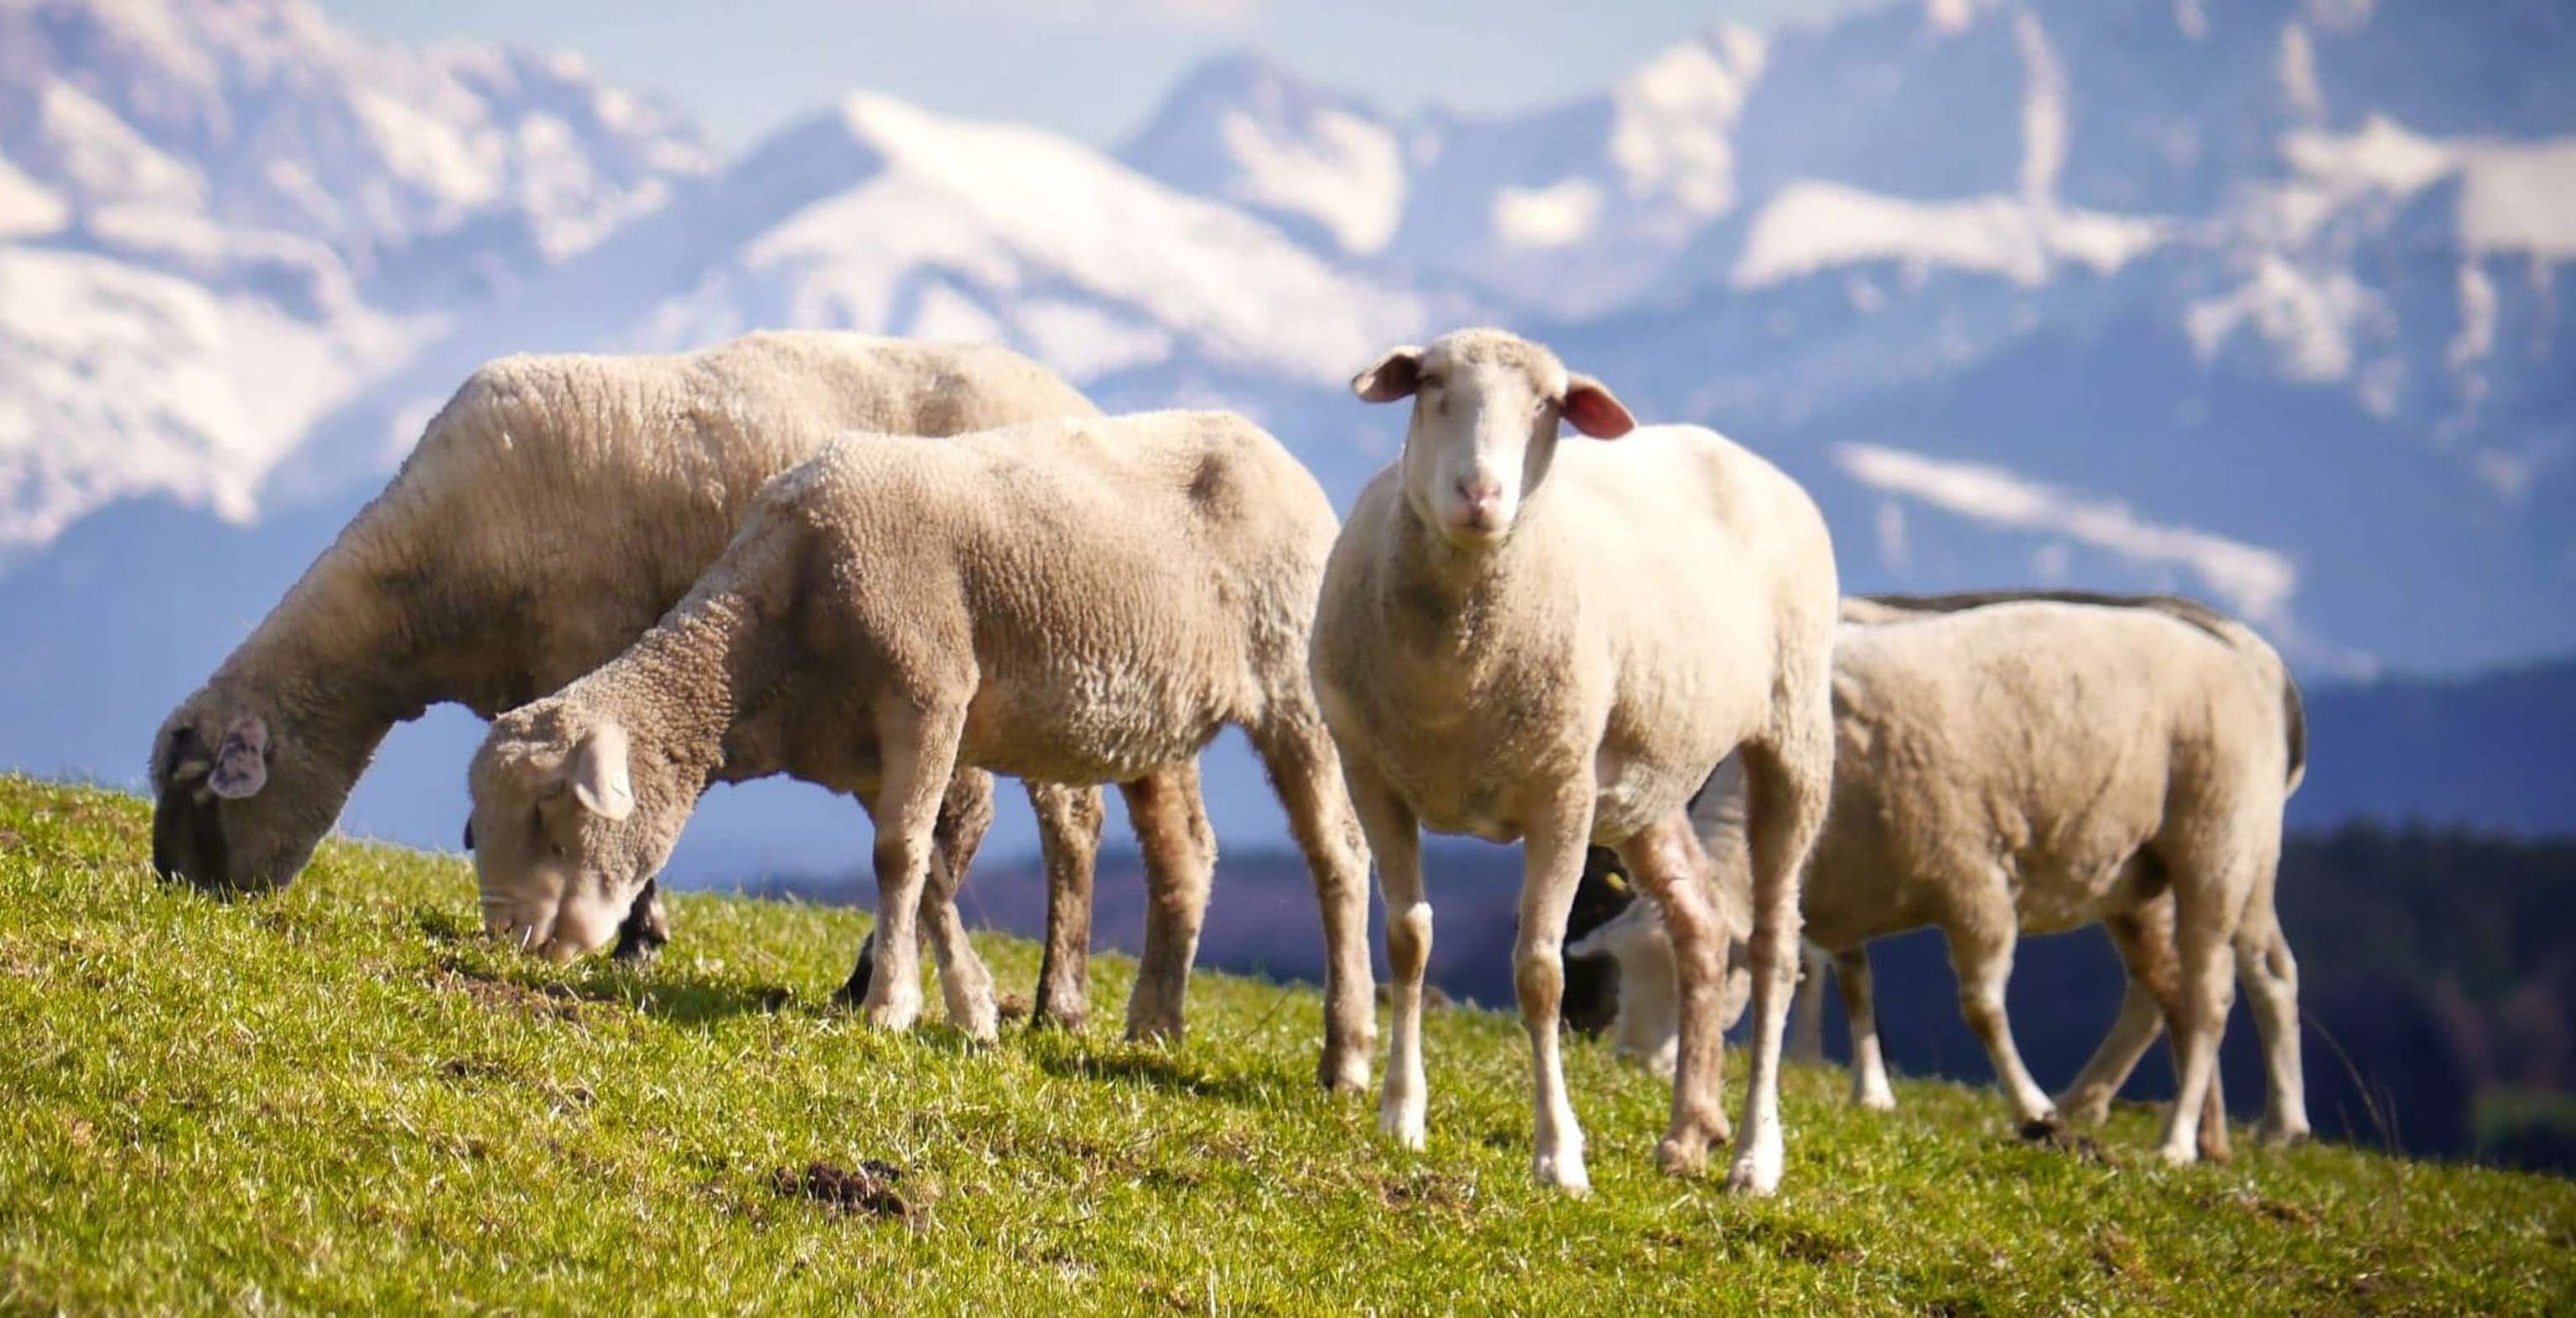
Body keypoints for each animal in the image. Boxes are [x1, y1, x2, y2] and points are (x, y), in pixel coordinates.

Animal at [144, 329, 1180, 1026]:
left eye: (200, 793)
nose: (177, 891)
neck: (419, 589)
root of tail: (1085, 404)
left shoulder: (589, 641)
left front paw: (638, 938)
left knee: (1069, 827)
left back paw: (1054, 998)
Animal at [465, 410, 1379, 1088]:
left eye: (551, 812)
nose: (509, 934)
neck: (769, 636)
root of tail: (1275, 451)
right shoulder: (867, 749)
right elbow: (928, 864)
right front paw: (971, 1012)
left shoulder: (929, 694)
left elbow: (899, 857)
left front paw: (889, 1008)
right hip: (1157, 714)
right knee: (1184, 853)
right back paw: (1155, 1025)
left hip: (1295, 685)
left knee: (1339, 855)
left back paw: (1347, 1059)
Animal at [1309, 328, 1840, 1196]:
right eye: (1431, 384)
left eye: (1548, 405)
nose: (1480, 494)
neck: (1454, 672)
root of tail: (1736, 451)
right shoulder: (1373, 778)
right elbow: (1408, 941)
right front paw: (1401, 1117)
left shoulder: (1559, 795)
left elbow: (1541, 973)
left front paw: (1559, 1154)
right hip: (1647, 782)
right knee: (1699, 925)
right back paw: (1687, 1133)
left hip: (1793, 737)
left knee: (1773, 948)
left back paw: (1755, 1156)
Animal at [1570, 591, 2310, 1165]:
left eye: (1690, 981)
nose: (1632, 1060)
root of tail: (2239, 655)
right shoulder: (1838, 890)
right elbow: (1856, 985)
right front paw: (1873, 1091)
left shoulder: (1972, 879)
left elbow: (1981, 1007)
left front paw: (2031, 1107)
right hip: (2137, 875)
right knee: (2165, 991)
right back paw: (2167, 1124)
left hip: (2220, 848)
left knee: (2222, 991)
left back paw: (2194, 1137)